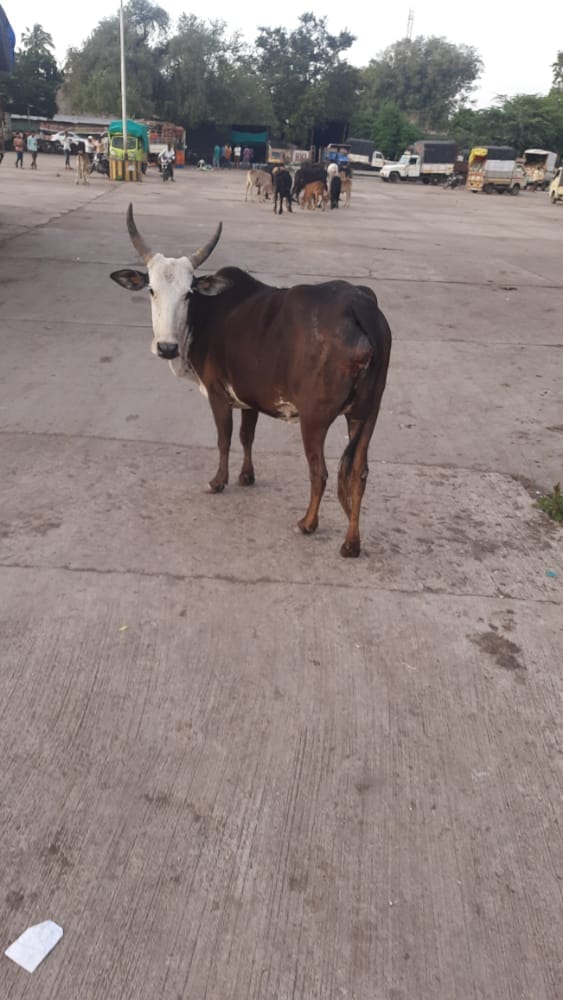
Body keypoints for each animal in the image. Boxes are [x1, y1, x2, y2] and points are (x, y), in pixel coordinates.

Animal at [110, 205, 392, 557]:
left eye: (188, 293)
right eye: (151, 290)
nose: (166, 347)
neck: (205, 314)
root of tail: (360, 306)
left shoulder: (218, 393)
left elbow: (225, 439)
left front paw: (219, 481)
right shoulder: (249, 397)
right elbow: (247, 437)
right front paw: (246, 476)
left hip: (315, 418)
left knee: (320, 472)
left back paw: (307, 523)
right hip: (367, 414)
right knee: (358, 474)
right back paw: (351, 543)